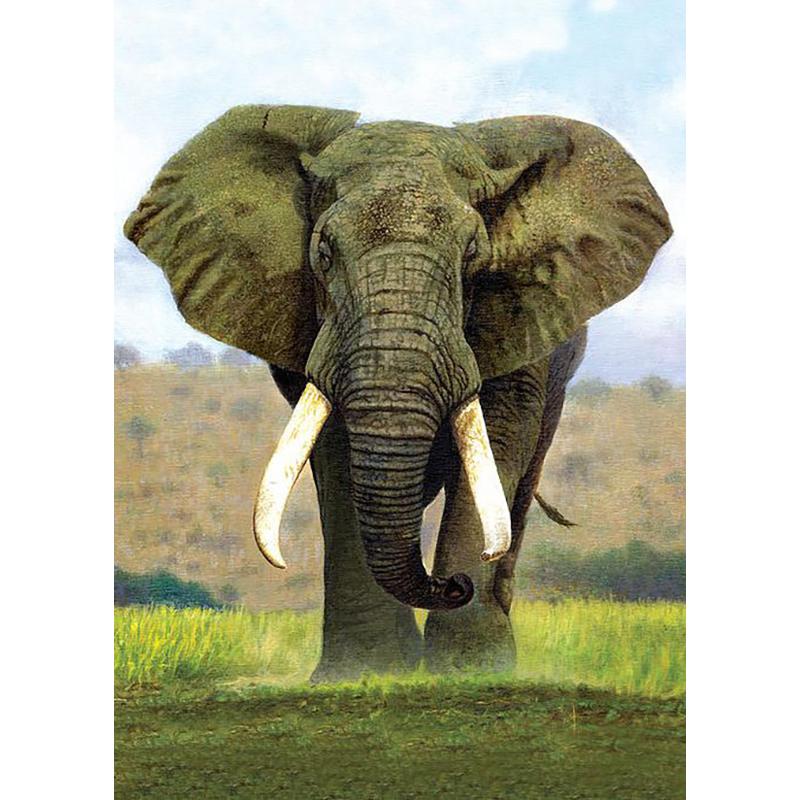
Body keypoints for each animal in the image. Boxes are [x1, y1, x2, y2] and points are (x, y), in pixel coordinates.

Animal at [124, 105, 671, 680]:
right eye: (323, 253)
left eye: (474, 254)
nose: (454, 584)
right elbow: (337, 452)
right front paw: (368, 672)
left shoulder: (524, 316)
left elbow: (500, 436)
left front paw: (469, 671)